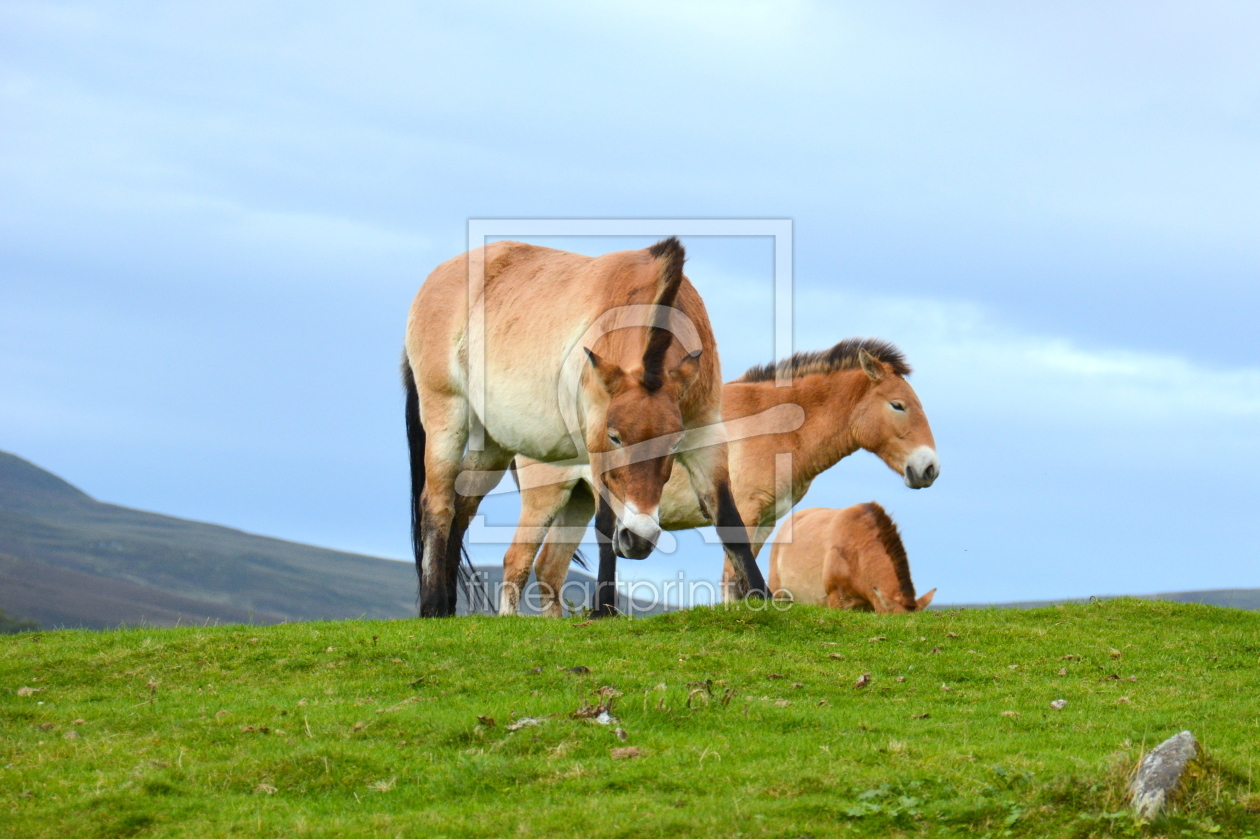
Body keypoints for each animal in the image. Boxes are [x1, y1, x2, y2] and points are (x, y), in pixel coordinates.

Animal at [403, 235, 766, 614]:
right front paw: (604, 610)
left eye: (673, 443)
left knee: (463, 506)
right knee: (438, 503)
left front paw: (764, 599)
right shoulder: (594, 439)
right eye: (615, 437)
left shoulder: (705, 434)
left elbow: (728, 517)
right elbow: (605, 523)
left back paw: (448, 607)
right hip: (446, 414)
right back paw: (432, 606)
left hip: (492, 444)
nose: (639, 539)